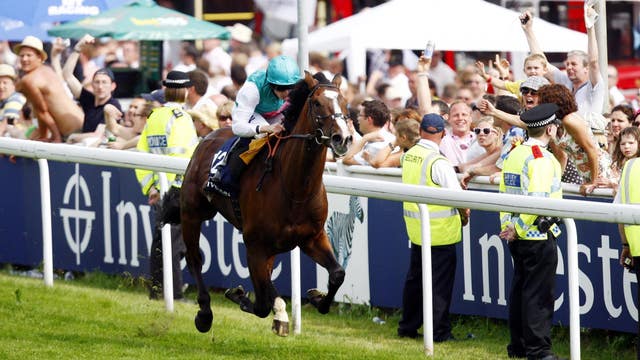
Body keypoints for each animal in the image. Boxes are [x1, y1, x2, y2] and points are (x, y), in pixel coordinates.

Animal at [178, 71, 352, 334]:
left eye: (344, 102)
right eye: (316, 103)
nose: (343, 138)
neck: (294, 188)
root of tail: (209, 135)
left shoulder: (312, 237)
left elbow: (337, 274)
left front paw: (316, 298)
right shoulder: (255, 246)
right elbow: (260, 305)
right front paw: (239, 295)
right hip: (192, 213)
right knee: (194, 259)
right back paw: (205, 314)